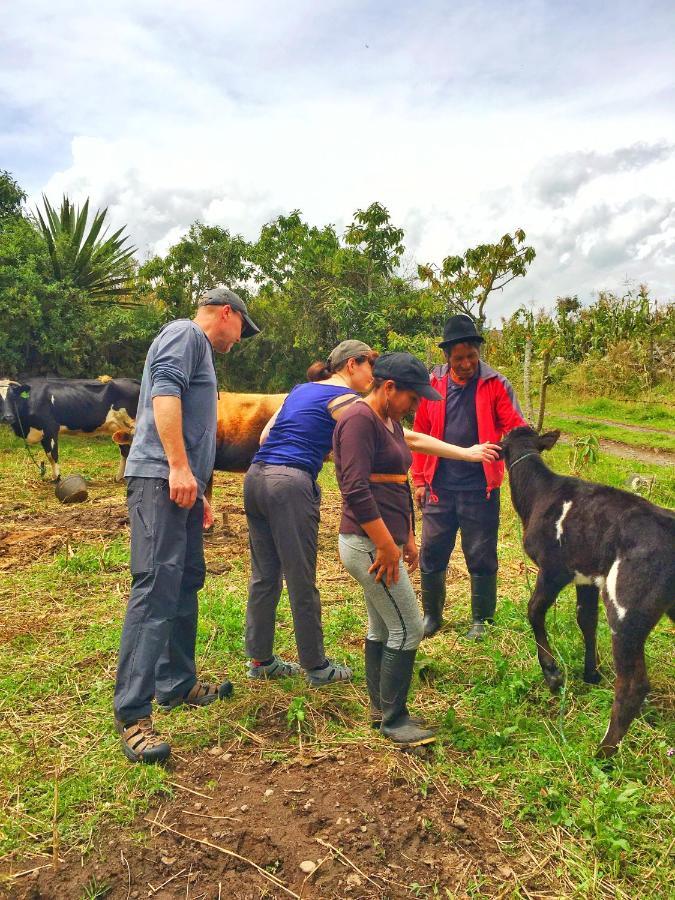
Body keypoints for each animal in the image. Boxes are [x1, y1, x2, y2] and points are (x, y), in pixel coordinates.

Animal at [0, 376, 140, 482]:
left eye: (13, 397)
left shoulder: (51, 428)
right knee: (125, 451)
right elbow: (48, 455)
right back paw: (119, 477)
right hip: (119, 428)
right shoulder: (43, 434)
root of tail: (133, 380)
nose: (7, 417)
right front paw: (54, 477)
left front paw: (57, 478)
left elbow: (53, 455)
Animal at [504, 426, 672, 756]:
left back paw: (603, 753)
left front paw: (553, 674)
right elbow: (587, 620)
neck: (540, 494)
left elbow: (534, 610)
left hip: (627, 607)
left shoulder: (554, 568)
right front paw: (591, 674)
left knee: (633, 684)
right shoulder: (587, 576)